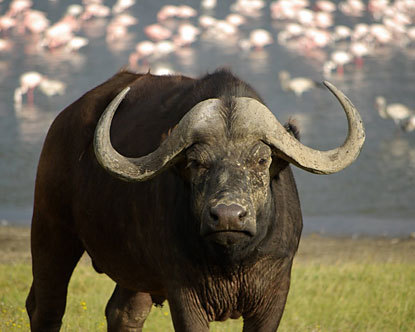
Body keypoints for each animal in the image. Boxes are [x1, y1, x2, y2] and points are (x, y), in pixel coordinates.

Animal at [26, 68, 366, 330]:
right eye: (195, 162)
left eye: (261, 160)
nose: (228, 215)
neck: (232, 260)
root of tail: (63, 121)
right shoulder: (185, 296)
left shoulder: (274, 295)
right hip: (50, 228)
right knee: (45, 307)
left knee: (123, 313)